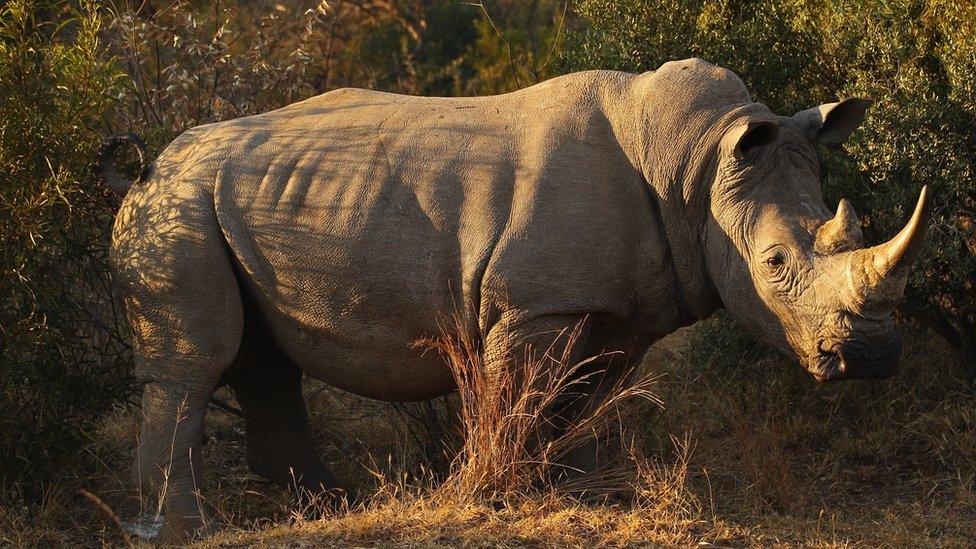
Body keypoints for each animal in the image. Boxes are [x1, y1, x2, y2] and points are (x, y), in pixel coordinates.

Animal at [95, 57, 928, 536]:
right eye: (776, 260)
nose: (875, 356)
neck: (697, 165)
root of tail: (147, 165)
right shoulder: (535, 306)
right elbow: (515, 395)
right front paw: (485, 494)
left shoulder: (620, 311)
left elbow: (588, 398)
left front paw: (587, 496)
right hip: (176, 204)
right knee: (194, 364)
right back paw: (186, 526)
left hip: (233, 198)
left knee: (265, 361)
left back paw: (323, 505)